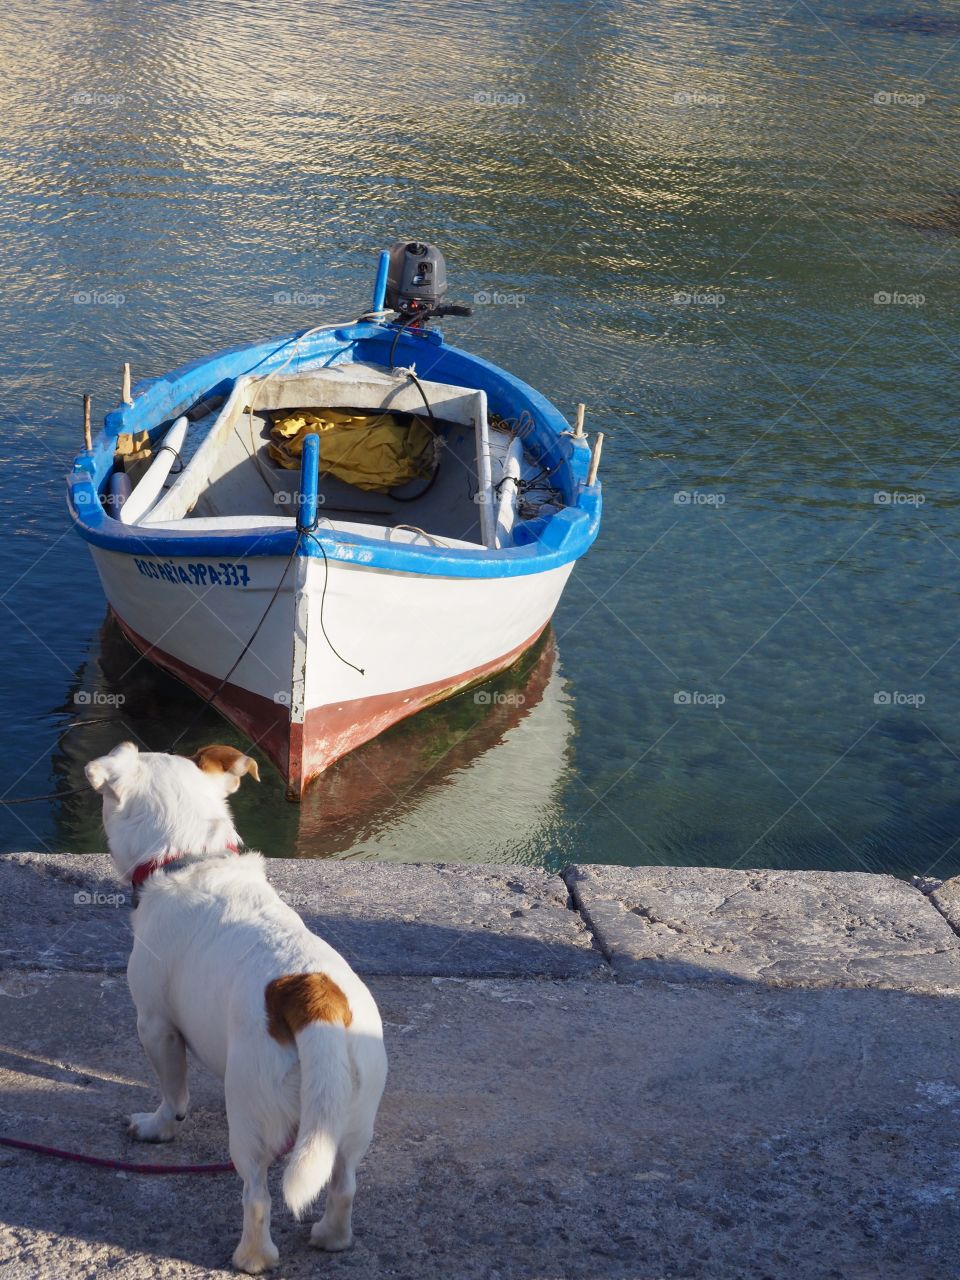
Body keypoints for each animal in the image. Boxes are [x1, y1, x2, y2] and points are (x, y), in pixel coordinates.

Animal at [85, 742, 386, 1269]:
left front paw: (158, 1127)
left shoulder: (155, 1026)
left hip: (250, 1117)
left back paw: (251, 1258)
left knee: (258, 1196)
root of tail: (315, 1000)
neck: (188, 856)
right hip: (349, 1119)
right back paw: (330, 1236)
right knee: (344, 1184)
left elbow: (173, 1095)